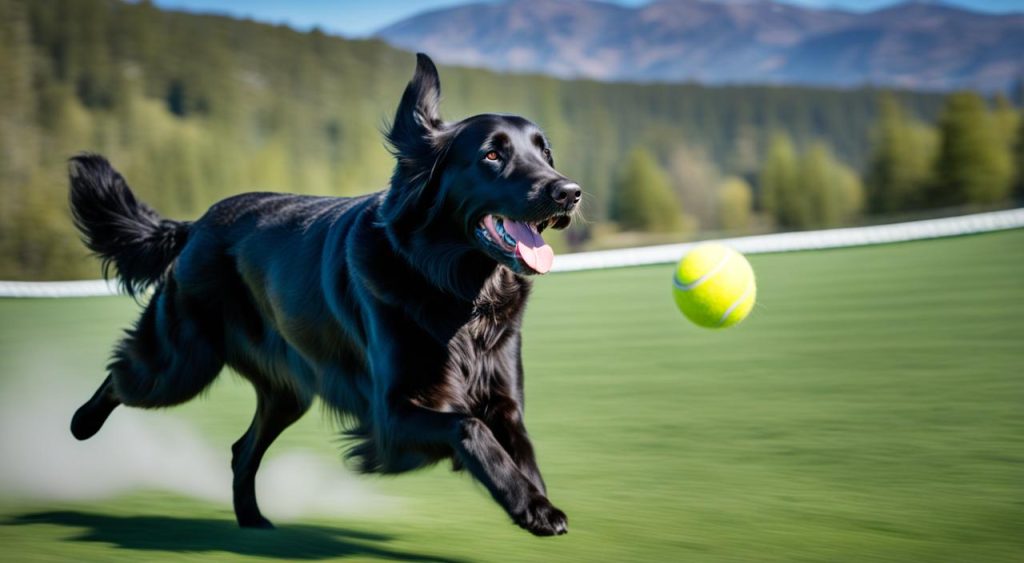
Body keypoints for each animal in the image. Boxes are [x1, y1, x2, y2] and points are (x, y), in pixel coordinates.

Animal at [70, 55, 585, 536]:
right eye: (492, 155)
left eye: (546, 153)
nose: (570, 192)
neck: (457, 293)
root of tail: (194, 225)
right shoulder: (391, 414)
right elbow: (469, 428)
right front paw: (533, 507)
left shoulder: (504, 401)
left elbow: (520, 450)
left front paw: (535, 499)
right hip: (181, 363)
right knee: (121, 376)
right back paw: (80, 424)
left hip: (285, 391)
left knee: (241, 450)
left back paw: (253, 519)